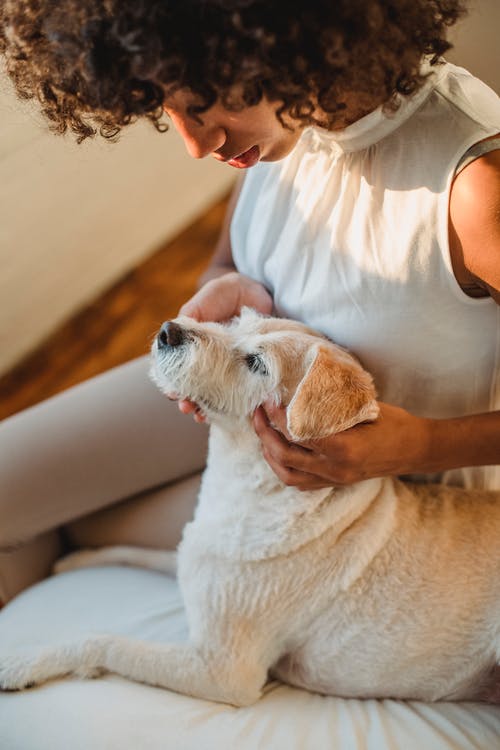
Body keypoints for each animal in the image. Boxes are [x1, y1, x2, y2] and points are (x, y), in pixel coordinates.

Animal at [0, 308, 500, 708]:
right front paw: (76, 559)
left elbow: (101, 642)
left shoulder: (220, 670)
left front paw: (22, 664)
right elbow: (136, 552)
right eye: (236, 321)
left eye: (256, 362)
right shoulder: (194, 559)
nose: (168, 330)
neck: (243, 485)